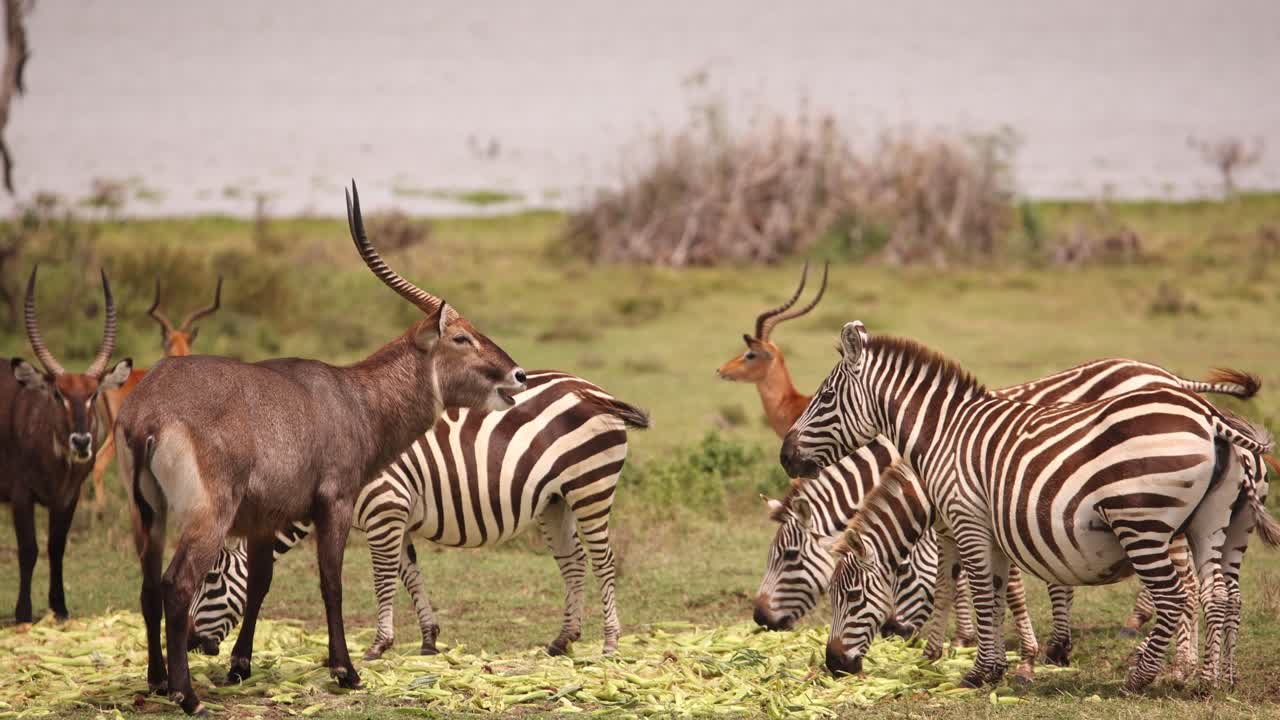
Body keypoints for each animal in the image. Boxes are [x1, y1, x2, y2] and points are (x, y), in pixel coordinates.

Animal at [186, 370, 648, 659]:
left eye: (211, 581)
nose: (190, 644)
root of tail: (597, 391)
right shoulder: (398, 515)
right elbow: (410, 574)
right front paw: (428, 639)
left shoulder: (384, 508)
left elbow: (383, 577)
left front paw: (379, 644)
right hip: (556, 499)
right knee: (573, 562)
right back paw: (563, 640)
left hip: (590, 485)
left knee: (604, 561)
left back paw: (610, 643)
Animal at [780, 321, 1276, 691]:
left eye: (825, 398)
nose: (834, 664)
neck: (942, 435)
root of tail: (1210, 415)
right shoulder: (985, 526)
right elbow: (991, 592)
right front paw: (989, 665)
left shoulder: (966, 519)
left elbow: (980, 592)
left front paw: (979, 670)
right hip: (1214, 523)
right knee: (1220, 594)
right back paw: (1213, 681)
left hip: (1143, 521)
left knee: (1175, 595)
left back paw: (1143, 676)